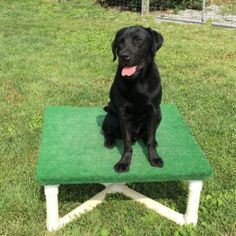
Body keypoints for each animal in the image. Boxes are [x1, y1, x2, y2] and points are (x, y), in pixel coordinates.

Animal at [101, 25, 164, 172]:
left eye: (138, 40)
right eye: (120, 42)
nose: (123, 56)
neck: (137, 82)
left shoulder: (154, 111)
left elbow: (150, 139)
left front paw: (154, 158)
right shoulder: (123, 114)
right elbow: (127, 142)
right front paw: (124, 162)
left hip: (159, 115)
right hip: (111, 117)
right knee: (106, 130)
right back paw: (109, 141)